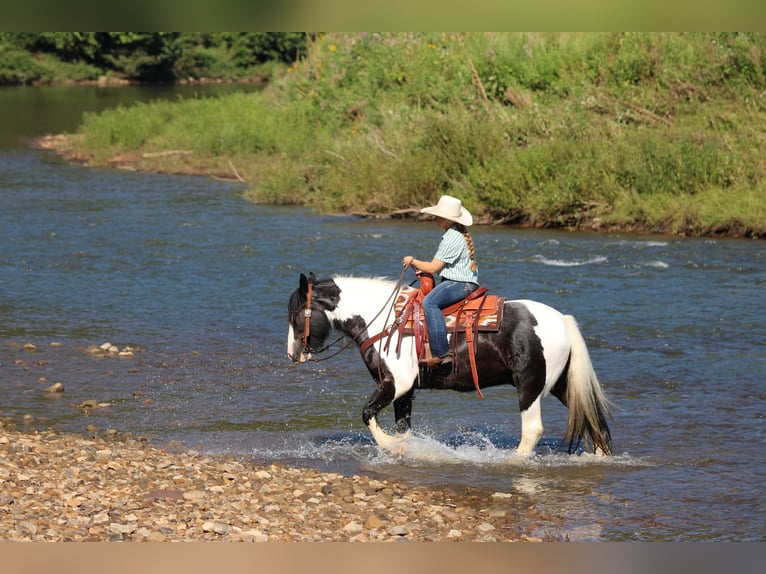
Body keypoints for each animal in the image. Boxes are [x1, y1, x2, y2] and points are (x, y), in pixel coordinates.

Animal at [287, 272, 613, 457]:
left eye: (295, 313)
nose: (293, 354)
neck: (386, 320)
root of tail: (561, 320)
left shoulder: (396, 383)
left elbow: (367, 413)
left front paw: (390, 446)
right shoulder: (406, 391)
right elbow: (403, 427)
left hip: (530, 386)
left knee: (532, 430)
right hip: (560, 384)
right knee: (593, 419)